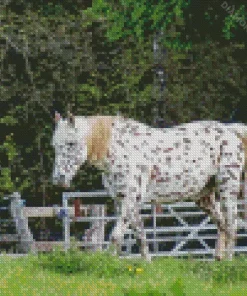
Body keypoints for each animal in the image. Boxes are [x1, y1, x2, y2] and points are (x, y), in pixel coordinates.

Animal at [52, 112, 247, 262]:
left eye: (71, 143)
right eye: (54, 146)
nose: (58, 179)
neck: (119, 150)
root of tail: (232, 132)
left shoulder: (131, 199)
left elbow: (116, 235)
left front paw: (106, 261)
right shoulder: (123, 201)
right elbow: (139, 235)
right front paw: (146, 264)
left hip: (227, 190)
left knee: (232, 224)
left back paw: (228, 262)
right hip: (204, 197)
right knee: (222, 224)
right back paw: (218, 260)